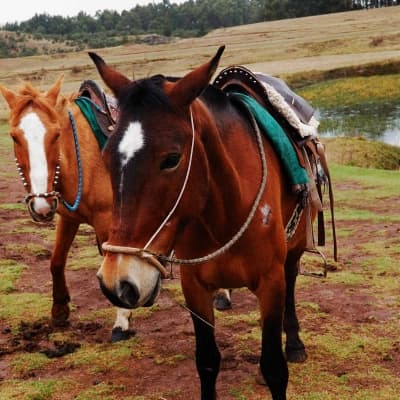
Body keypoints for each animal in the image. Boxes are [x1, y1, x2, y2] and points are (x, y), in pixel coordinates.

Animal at [0, 79, 134, 342]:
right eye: (14, 136)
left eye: (56, 135)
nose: (41, 205)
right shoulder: (68, 218)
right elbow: (56, 261)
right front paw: (60, 309)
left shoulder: (106, 220)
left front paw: (121, 321)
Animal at [88, 47, 322, 400]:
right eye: (106, 158)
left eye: (172, 159)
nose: (118, 282)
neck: (224, 215)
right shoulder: (195, 288)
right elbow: (208, 361)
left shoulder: (271, 281)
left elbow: (274, 367)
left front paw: (284, 352)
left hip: (292, 252)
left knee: (292, 284)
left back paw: (294, 344)